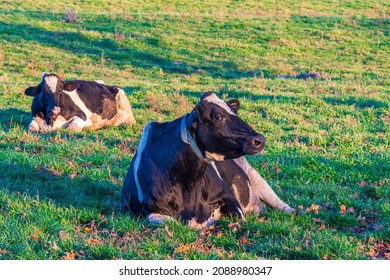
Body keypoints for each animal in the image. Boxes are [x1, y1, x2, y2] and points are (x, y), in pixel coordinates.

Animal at [120, 92, 294, 228]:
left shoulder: (228, 194)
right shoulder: (148, 212)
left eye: (235, 113)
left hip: (254, 176)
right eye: (218, 117)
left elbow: (241, 220)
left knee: (278, 202)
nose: (260, 140)